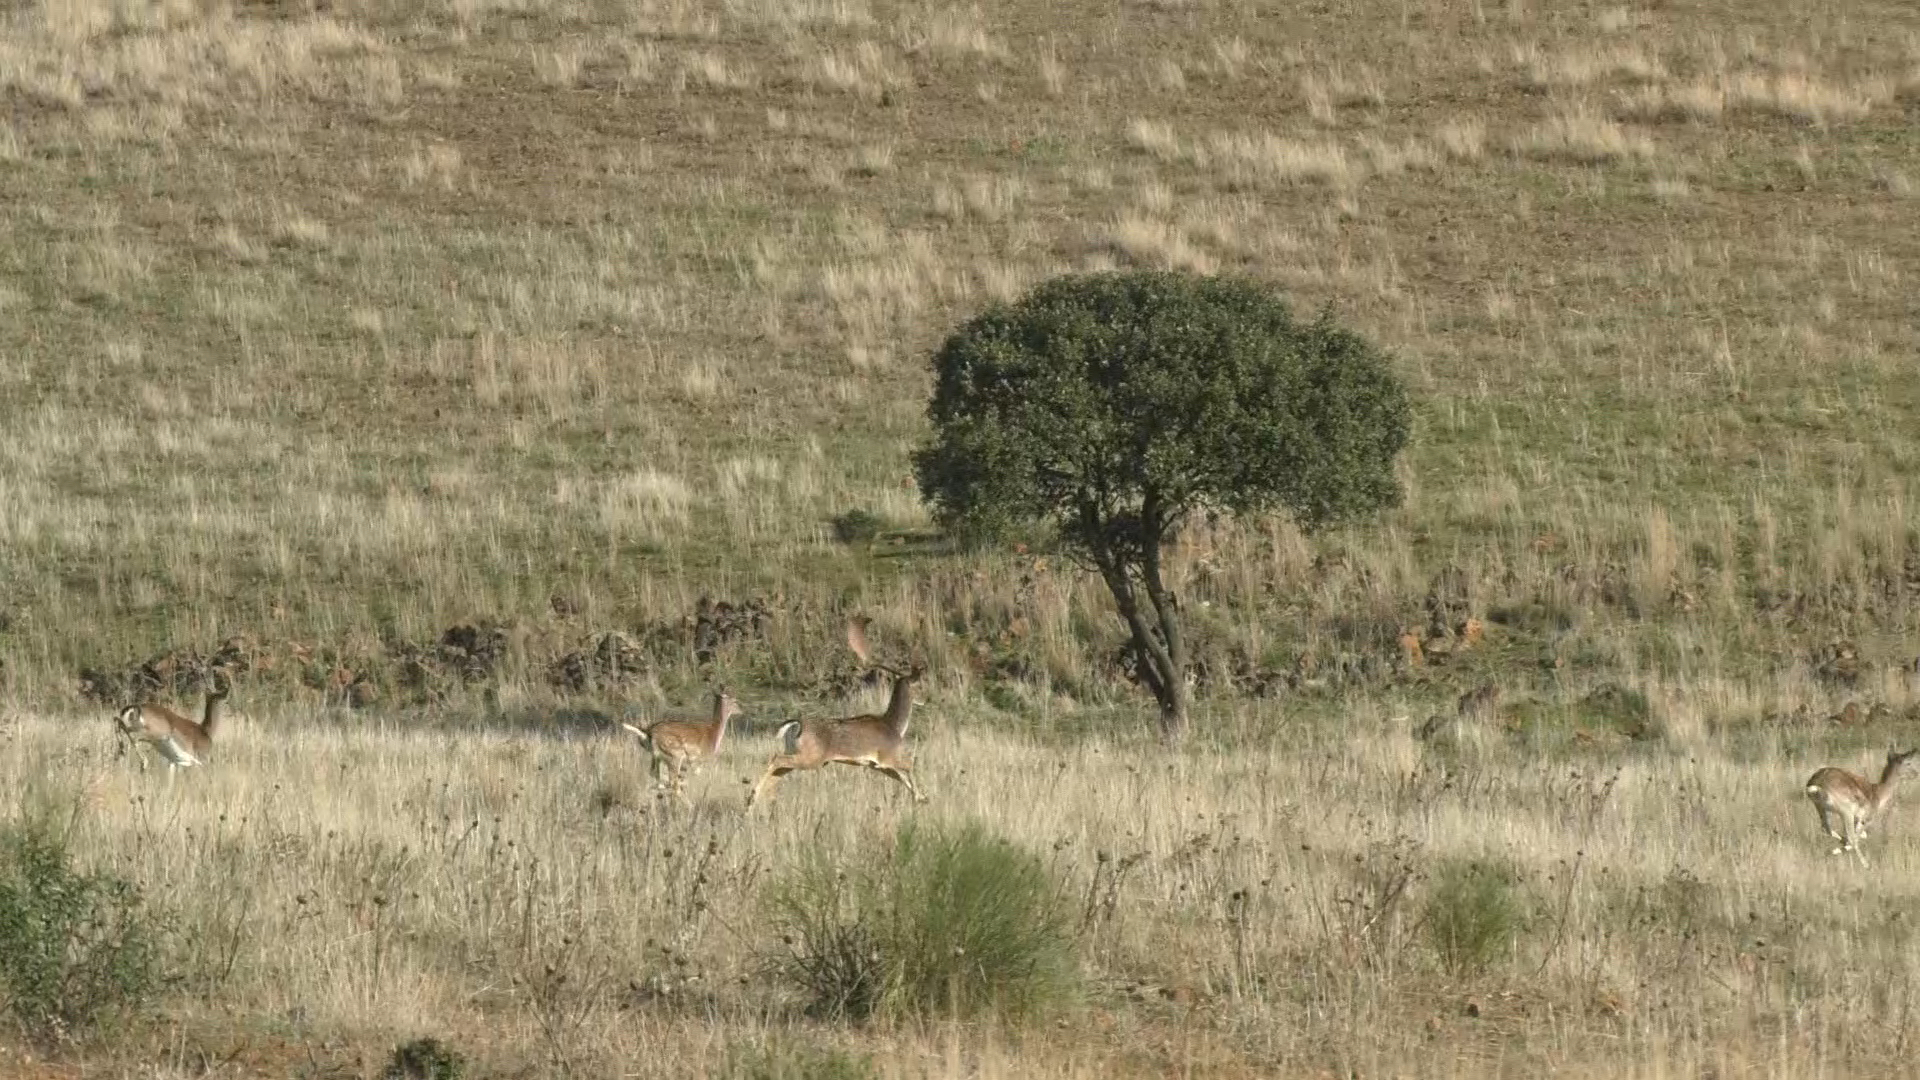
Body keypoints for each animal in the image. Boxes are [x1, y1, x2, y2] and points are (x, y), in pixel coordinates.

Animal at [744, 614, 925, 807]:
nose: (925, 699)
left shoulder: (876, 765)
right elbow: (910, 765)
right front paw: (921, 797)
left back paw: (756, 800)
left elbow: (902, 778)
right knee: (776, 759)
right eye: (920, 685)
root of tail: (797, 724)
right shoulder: (887, 756)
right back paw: (753, 796)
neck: (894, 725)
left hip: (796, 752)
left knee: (778, 769)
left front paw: (921, 797)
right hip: (811, 757)